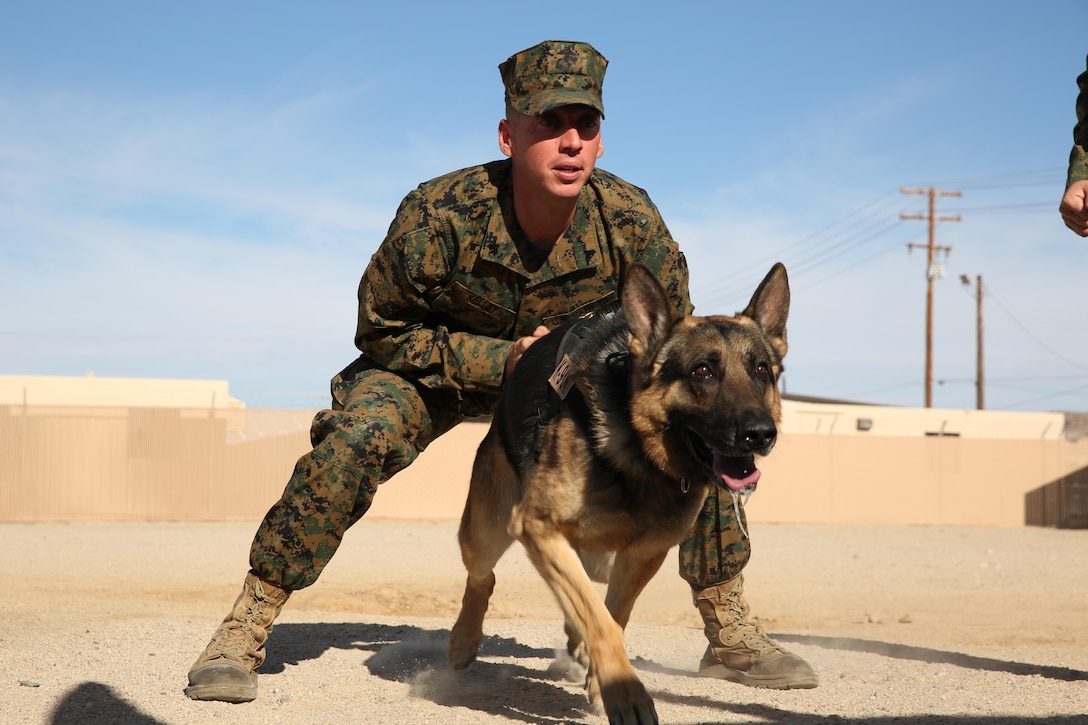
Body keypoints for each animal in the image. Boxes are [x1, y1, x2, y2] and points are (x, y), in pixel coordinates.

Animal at [446, 262, 787, 718]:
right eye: (702, 371)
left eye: (761, 370)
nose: (760, 434)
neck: (640, 458)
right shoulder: (538, 527)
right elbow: (599, 619)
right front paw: (623, 692)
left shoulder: (644, 554)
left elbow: (613, 615)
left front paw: (599, 678)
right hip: (488, 532)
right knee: (483, 576)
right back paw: (464, 641)